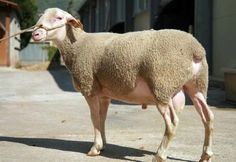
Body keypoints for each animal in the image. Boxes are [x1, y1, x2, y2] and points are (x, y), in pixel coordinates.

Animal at [31, 8, 214, 162]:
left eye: (59, 18)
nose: (35, 33)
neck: (77, 45)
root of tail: (195, 50)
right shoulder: (104, 93)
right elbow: (102, 117)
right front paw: (103, 144)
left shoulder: (89, 88)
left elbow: (94, 117)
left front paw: (95, 148)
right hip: (196, 85)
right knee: (208, 116)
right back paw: (206, 154)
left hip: (162, 85)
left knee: (172, 123)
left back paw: (160, 155)